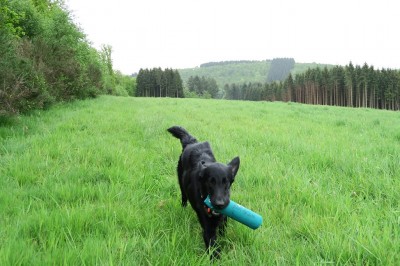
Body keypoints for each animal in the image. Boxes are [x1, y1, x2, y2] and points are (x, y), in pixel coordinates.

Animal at [167, 125, 239, 258]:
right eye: (210, 182)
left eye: (226, 182)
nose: (219, 204)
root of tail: (191, 142)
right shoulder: (208, 229)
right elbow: (214, 249)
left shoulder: (223, 219)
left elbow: (223, 233)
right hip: (181, 185)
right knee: (183, 198)